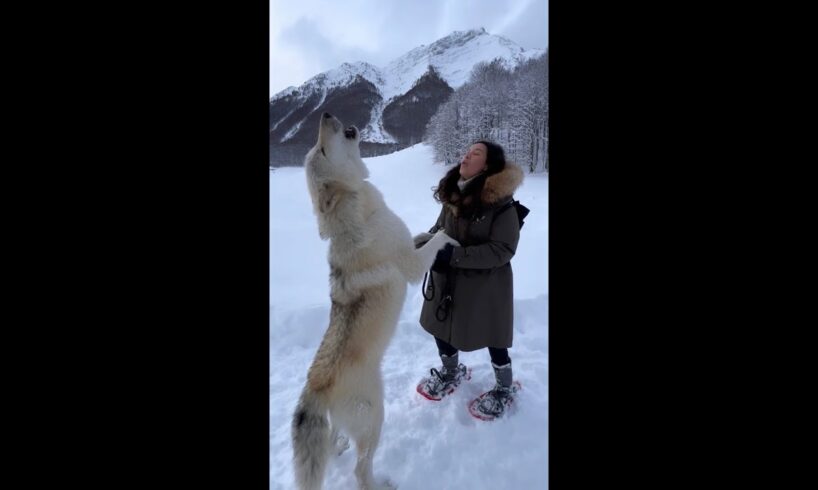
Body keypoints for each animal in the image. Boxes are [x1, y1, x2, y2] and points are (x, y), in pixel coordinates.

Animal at [292, 113, 460, 488]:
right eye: (321, 148)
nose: (325, 113)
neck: (360, 214)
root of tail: (314, 388)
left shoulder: (408, 244)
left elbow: (420, 236)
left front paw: (429, 230)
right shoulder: (411, 266)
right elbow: (435, 243)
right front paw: (449, 234)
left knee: (335, 445)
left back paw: (339, 445)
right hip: (375, 417)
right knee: (360, 469)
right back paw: (380, 482)